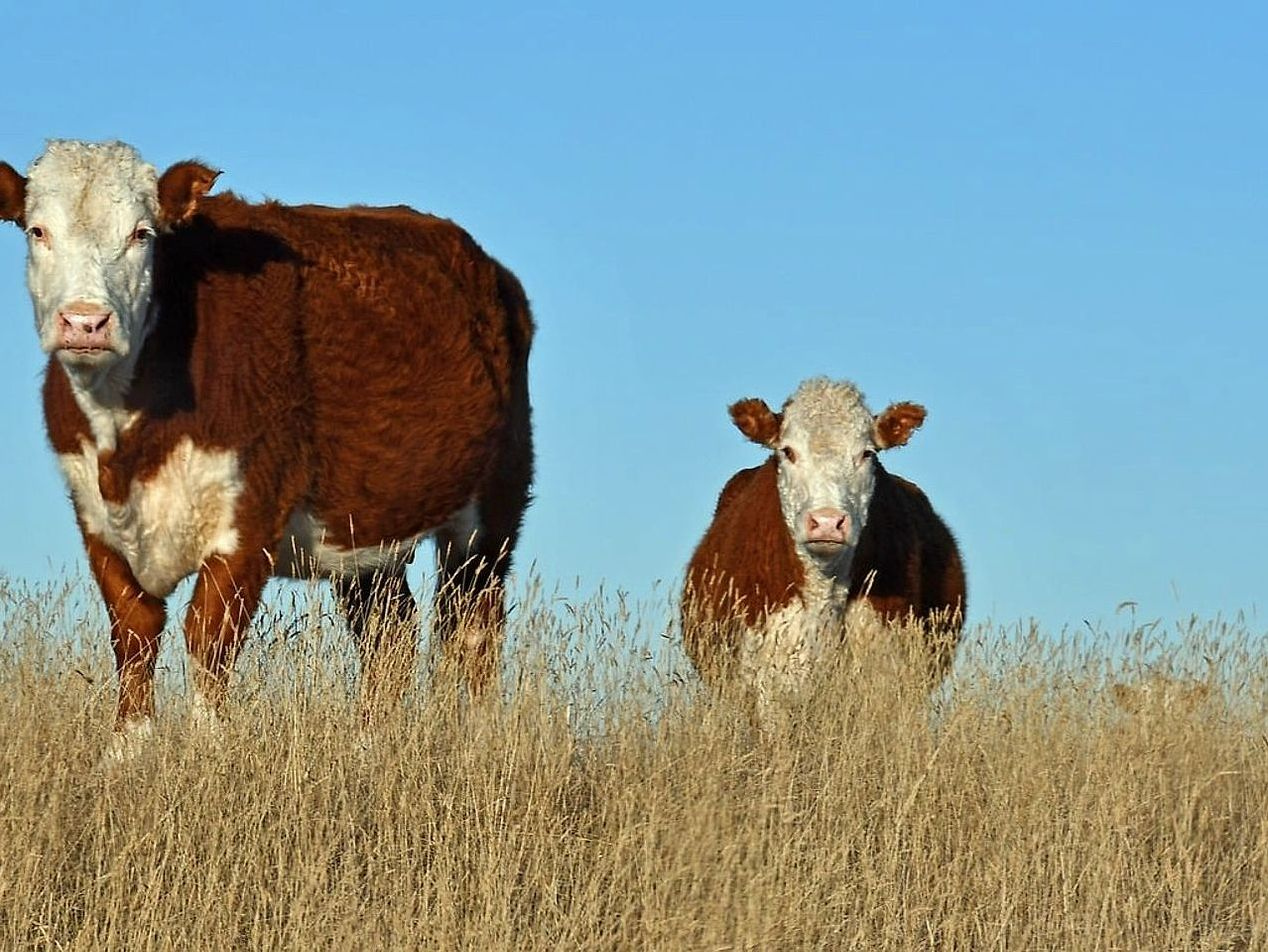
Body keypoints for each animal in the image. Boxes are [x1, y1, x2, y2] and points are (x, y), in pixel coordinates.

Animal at [0, 140, 534, 745]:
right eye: (36, 230)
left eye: (142, 233)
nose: (86, 322)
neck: (129, 440)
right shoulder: (96, 516)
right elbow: (133, 635)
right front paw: (129, 747)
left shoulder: (253, 511)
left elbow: (208, 637)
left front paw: (207, 746)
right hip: (366, 525)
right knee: (389, 633)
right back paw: (368, 741)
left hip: (495, 505)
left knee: (473, 628)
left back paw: (479, 737)